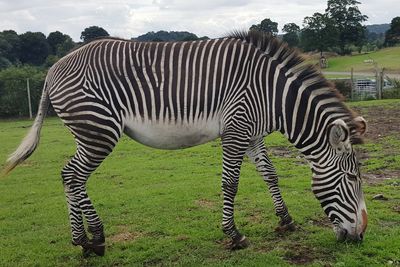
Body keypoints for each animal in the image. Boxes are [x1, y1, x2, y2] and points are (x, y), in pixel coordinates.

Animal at [2, 30, 368, 258]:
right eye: (353, 179)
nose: (361, 235)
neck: (273, 94)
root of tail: (54, 70)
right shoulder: (235, 130)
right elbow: (231, 184)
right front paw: (234, 236)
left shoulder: (252, 134)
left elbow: (270, 175)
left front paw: (286, 220)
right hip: (98, 130)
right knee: (72, 176)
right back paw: (93, 240)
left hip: (89, 132)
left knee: (71, 177)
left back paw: (87, 242)